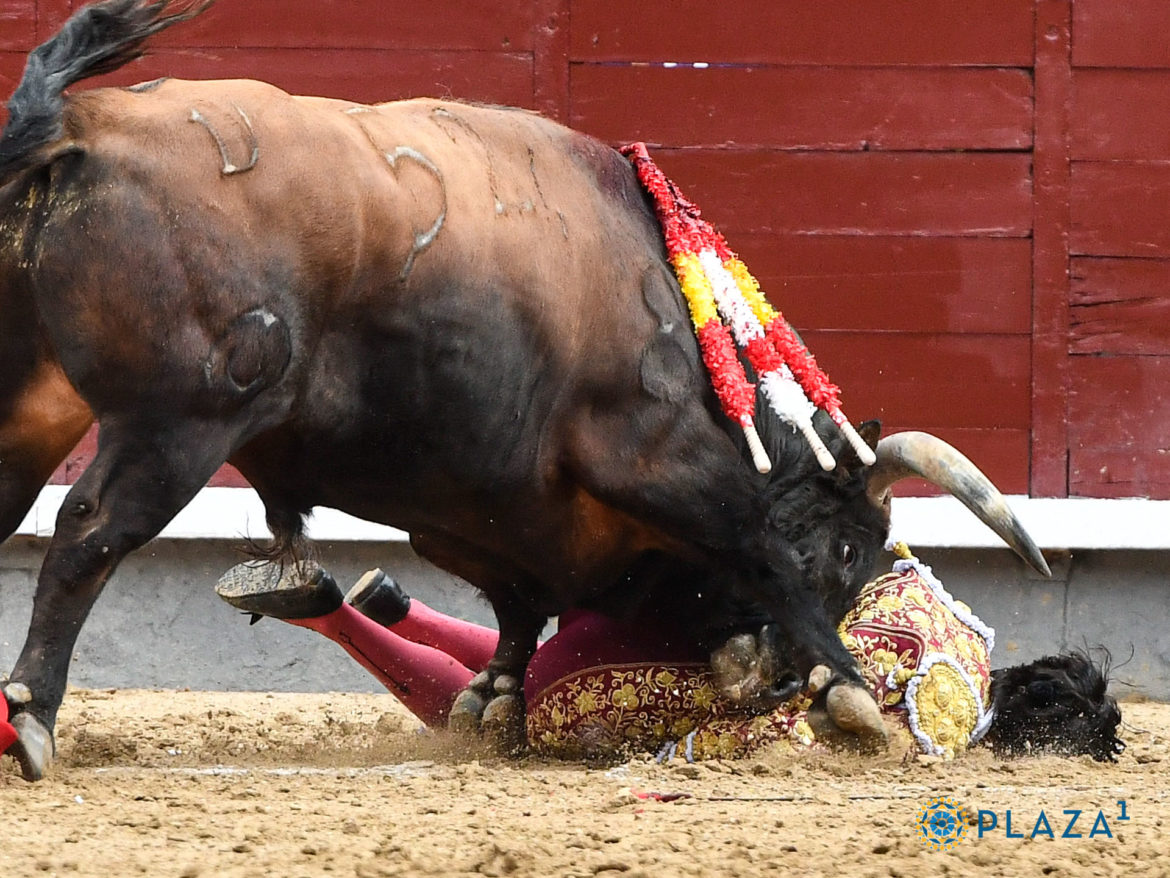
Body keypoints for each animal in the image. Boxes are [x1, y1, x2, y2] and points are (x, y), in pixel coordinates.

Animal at [0, 0, 1048, 782]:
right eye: (848, 549)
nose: (770, 679)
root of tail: (88, 124)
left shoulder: (475, 509)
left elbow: (516, 603)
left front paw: (492, 697)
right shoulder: (650, 459)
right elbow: (754, 544)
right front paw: (848, 691)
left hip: (33, 410)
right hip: (180, 422)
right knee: (90, 532)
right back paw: (34, 715)